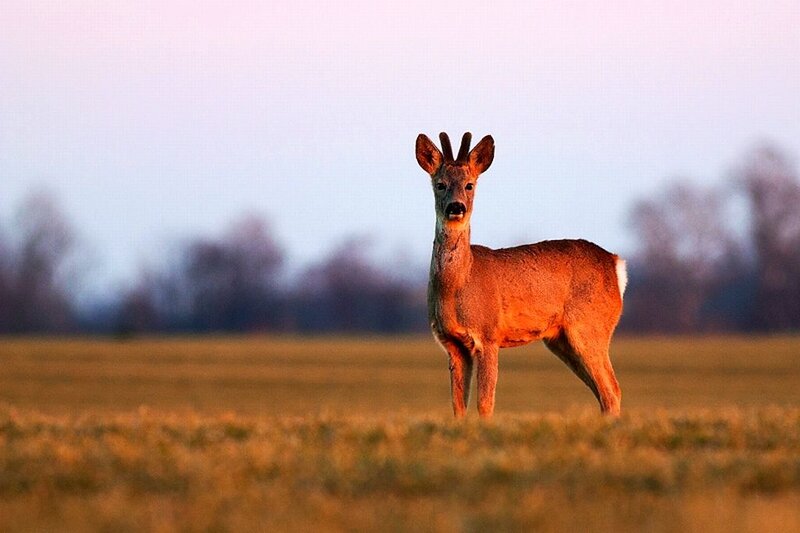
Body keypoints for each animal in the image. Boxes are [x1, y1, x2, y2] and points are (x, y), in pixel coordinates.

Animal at [416, 132, 626, 418]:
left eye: (470, 185)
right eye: (440, 184)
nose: (456, 207)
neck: (457, 285)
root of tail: (616, 264)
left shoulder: (488, 334)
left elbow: (485, 402)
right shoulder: (452, 344)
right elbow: (458, 406)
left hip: (590, 326)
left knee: (611, 389)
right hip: (561, 339)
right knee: (603, 391)